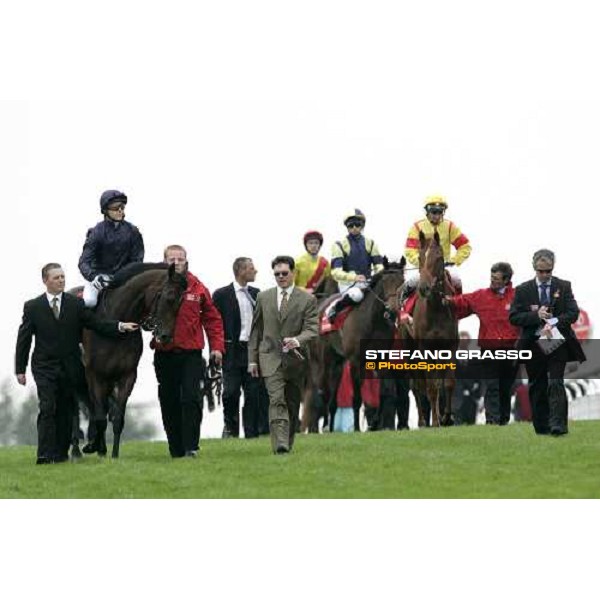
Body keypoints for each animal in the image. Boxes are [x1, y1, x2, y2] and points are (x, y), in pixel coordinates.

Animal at [79, 262, 186, 454]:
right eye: (169, 297)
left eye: (181, 302)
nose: (166, 337)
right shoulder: (95, 375)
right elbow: (100, 416)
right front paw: (100, 450)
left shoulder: (127, 376)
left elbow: (118, 419)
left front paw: (114, 455)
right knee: (94, 408)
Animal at [308, 258, 406, 432]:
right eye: (386, 282)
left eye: (402, 281)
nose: (393, 309)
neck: (373, 320)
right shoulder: (355, 361)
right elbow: (357, 397)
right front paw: (356, 428)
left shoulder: (380, 358)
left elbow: (384, 392)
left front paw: (374, 423)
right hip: (324, 360)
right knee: (323, 392)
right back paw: (325, 426)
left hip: (338, 363)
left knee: (333, 398)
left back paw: (331, 428)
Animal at [408, 230, 460, 426]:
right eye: (420, 257)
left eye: (438, 257)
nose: (424, 288)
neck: (437, 309)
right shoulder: (425, 348)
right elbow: (430, 387)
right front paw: (436, 422)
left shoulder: (450, 346)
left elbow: (448, 383)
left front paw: (447, 417)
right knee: (417, 385)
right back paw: (423, 421)